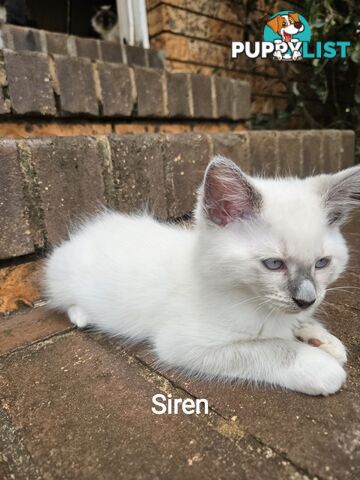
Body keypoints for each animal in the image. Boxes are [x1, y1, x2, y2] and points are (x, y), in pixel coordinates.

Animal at [43, 156, 360, 396]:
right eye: (273, 264)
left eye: (322, 263)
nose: (306, 300)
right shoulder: (183, 343)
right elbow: (268, 348)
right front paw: (319, 365)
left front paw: (320, 338)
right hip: (64, 277)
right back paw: (82, 315)